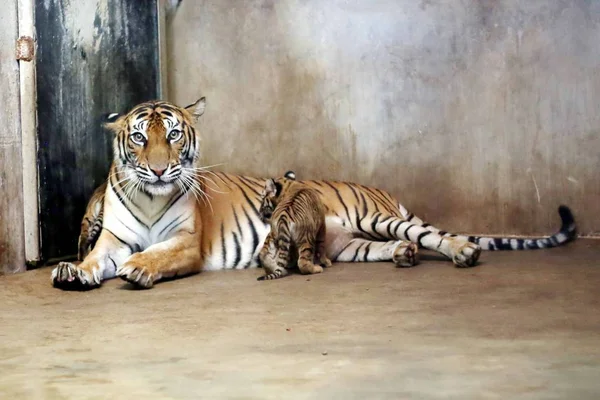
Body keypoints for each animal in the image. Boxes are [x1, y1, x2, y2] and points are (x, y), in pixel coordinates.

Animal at [51, 97, 576, 290]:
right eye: (140, 137)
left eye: (175, 134)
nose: (160, 169)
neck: (150, 196)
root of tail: (380, 190)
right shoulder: (111, 240)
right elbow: (95, 259)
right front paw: (73, 271)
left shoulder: (187, 244)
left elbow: (157, 254)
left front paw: (140, 268)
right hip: (351, 245)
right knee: (389, 247)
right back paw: (403, 255)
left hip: (378, 217)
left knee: (434, 235)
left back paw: (463, 251)